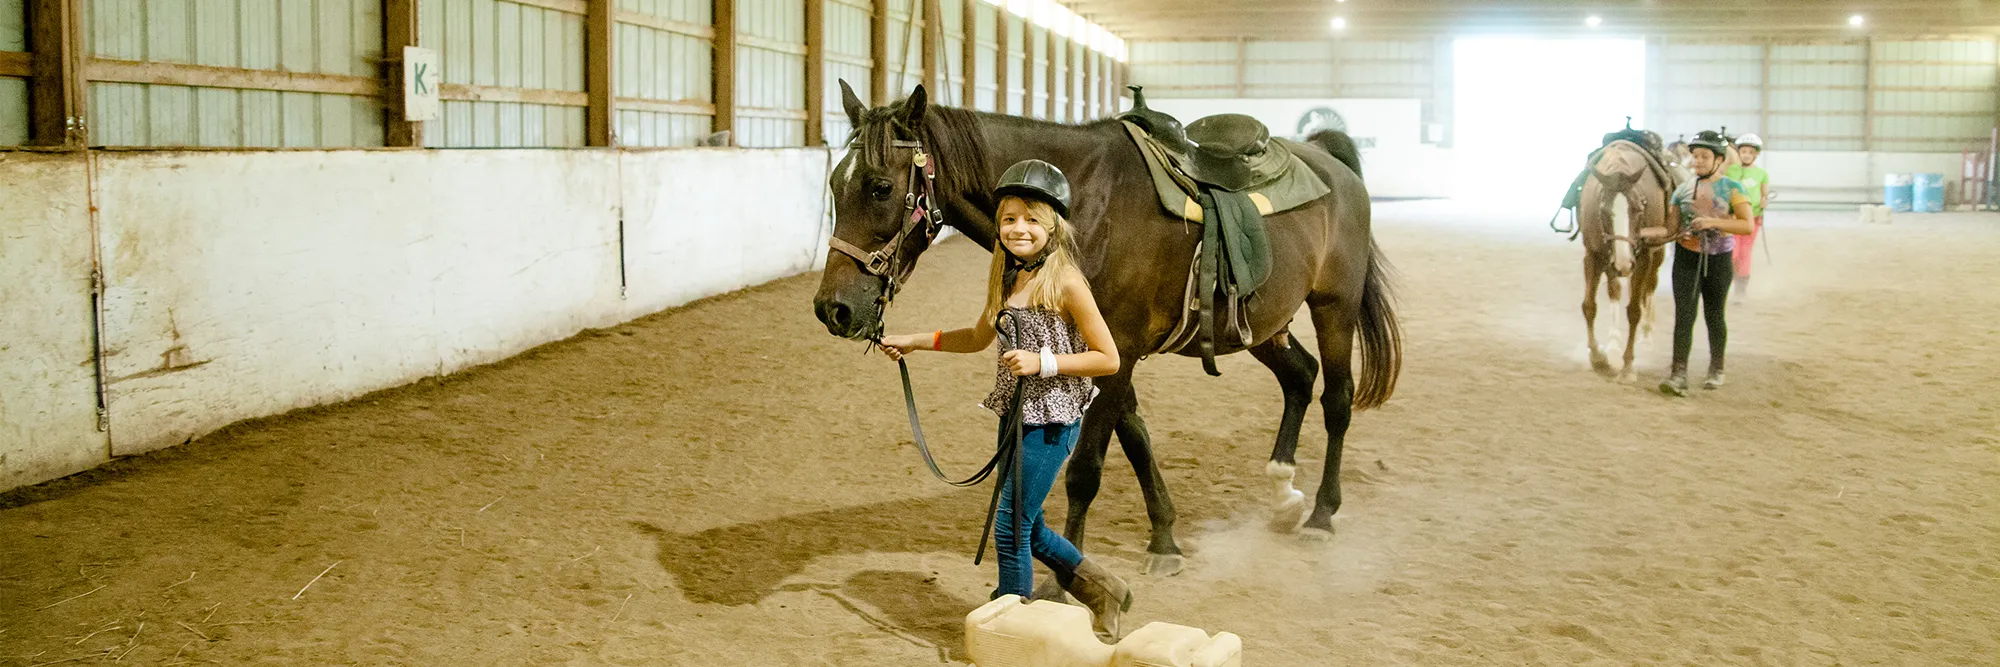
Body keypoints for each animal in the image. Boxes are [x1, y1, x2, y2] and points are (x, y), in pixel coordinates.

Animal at [810, 82, 1402, 576]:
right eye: (836, 185)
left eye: (881, 187)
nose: (832, 309)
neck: (1086, 203)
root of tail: (1328, 159)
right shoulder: (1108, 351)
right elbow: (1136, 437)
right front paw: (1165, 539)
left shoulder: (1118, 348)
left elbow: (1086, 468)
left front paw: (1064, 581)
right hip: (1261, 325)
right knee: (1300, 376)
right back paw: (1283, 495)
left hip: (1333, 306)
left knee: (1337, 399)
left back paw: (1321, 515)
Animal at [1578, 136, 1678, 381]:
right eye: (1604, 210)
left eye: (1638, 208)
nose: (1624, 264)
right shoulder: (1593, 256)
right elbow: (1589, 306)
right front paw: (1598, 358)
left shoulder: (1643, 259)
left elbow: (1634, 311)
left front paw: (1628, 367)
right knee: (1616, 289)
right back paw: (1613, 342)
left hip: (1654, 256)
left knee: (1648, 289)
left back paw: (1646, 337)